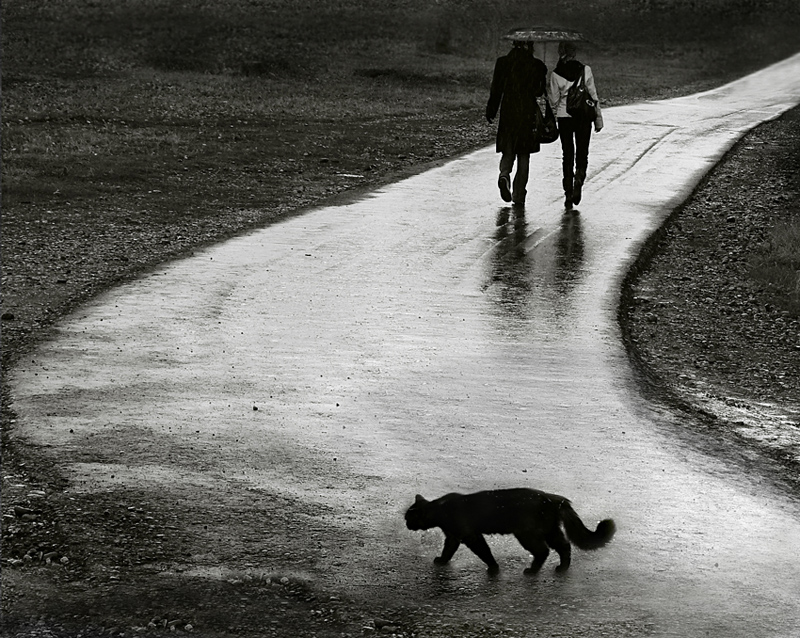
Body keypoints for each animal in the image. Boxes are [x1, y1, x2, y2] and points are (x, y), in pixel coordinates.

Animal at [405, 487, 615, 574]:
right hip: (550, 530)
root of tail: (554, 498)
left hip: (527, 534)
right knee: (564, 546)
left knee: (543, 551)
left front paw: (494, 568)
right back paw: (562, 568)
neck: (440, 510)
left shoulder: (471, 536)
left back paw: (532, 571)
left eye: (408, 517)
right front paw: (442, 561)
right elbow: (448, 550)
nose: (405, 524)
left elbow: (484, 552)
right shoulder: (453, 537)